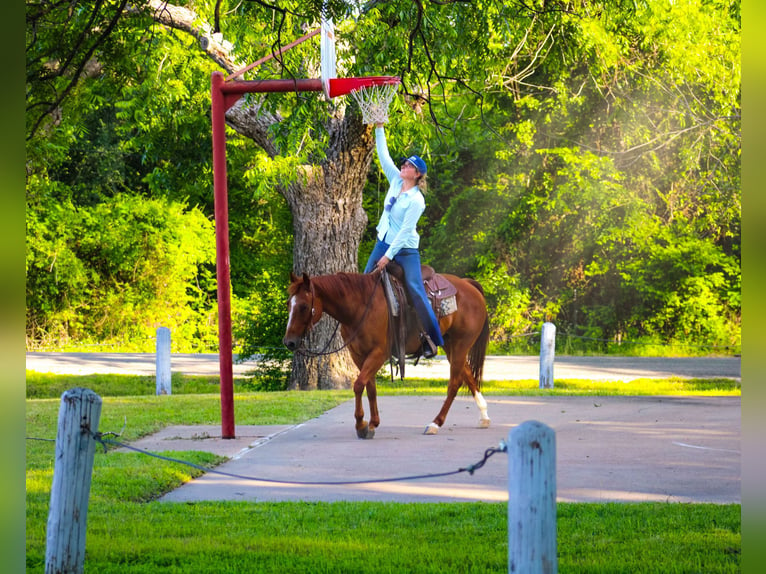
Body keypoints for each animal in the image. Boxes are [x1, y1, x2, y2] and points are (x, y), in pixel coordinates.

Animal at [282, 272, 492, 438]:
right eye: (288, 304)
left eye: (303, 306)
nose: (289, 342)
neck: (360, 307)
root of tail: (468, 284)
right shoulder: (359, 355)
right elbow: (370, 387)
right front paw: (372, 423)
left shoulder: (379, 353)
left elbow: (359, 384)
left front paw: (361, 424)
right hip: (451, 346)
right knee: (468, 375)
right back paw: (484, 416)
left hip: (461, 344)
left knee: (455, 383)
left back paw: (435, 423)